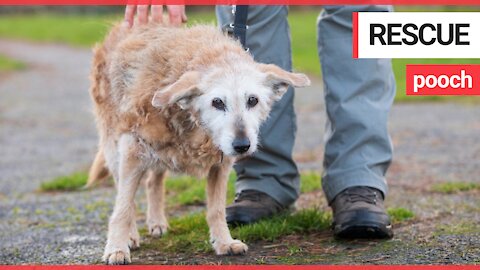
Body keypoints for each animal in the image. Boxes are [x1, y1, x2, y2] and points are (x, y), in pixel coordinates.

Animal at [87, 22, 310, 264]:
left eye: (253, 100)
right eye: (217, 102)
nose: (242, 145)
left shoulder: (220, 165)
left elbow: (216, 210)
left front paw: (224, 242)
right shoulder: (132, 153)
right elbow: (123, 207)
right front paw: (117, 248)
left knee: (153, 182)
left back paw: (157, 222)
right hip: (115, 148)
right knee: (125, 191)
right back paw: (131, 236)